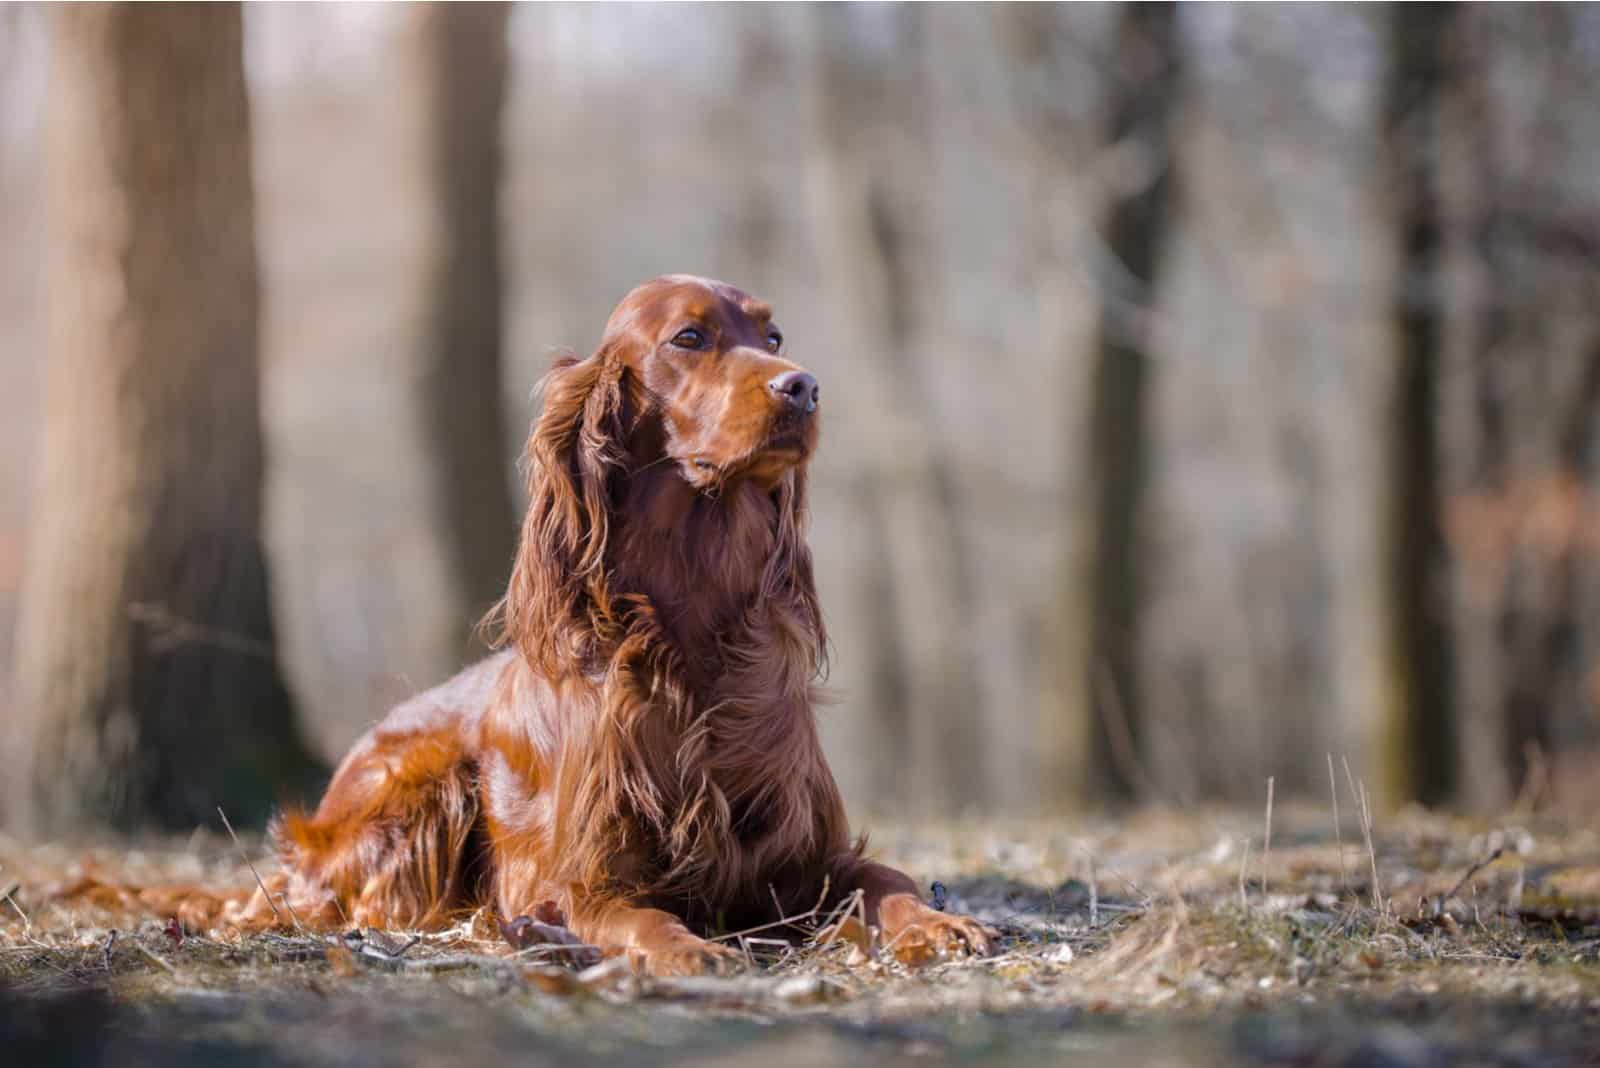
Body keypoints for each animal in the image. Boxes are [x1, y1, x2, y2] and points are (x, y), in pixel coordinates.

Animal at [236, 278, 985, 978]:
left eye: (773, 338)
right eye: (689, 337)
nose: (803, 387)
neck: (695, 621)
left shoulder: (807, 853)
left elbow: (884, 877)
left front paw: (938, 923)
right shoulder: (582, 877)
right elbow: (640, 915)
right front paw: (688, 949)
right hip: (425, 786)